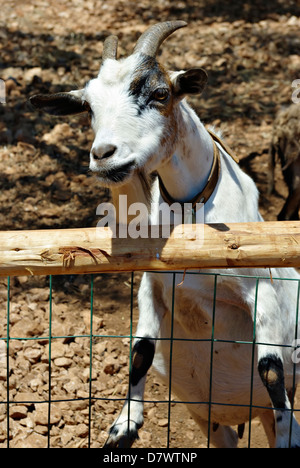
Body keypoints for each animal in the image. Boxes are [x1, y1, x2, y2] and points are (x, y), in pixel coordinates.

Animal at [29, 22, 300, 450]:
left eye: (160, 94)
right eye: (88, 107)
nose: (103, 155)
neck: (191, 215)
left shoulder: (262, 289)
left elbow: (270, 368)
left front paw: (291, 434)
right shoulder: (155, 284)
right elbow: (141, 349)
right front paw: (124, 425)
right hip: (207, 415)